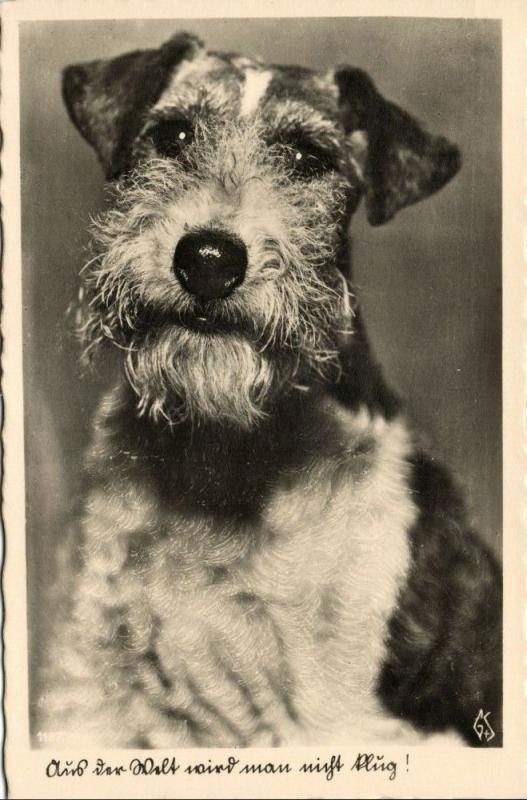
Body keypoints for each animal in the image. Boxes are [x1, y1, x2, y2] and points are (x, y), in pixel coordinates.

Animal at [38, 29, 504, 744]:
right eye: (172, 134)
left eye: (309, 156)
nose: (208, 259)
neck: (221, 457)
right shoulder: (91, 678)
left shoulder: (336, 709)